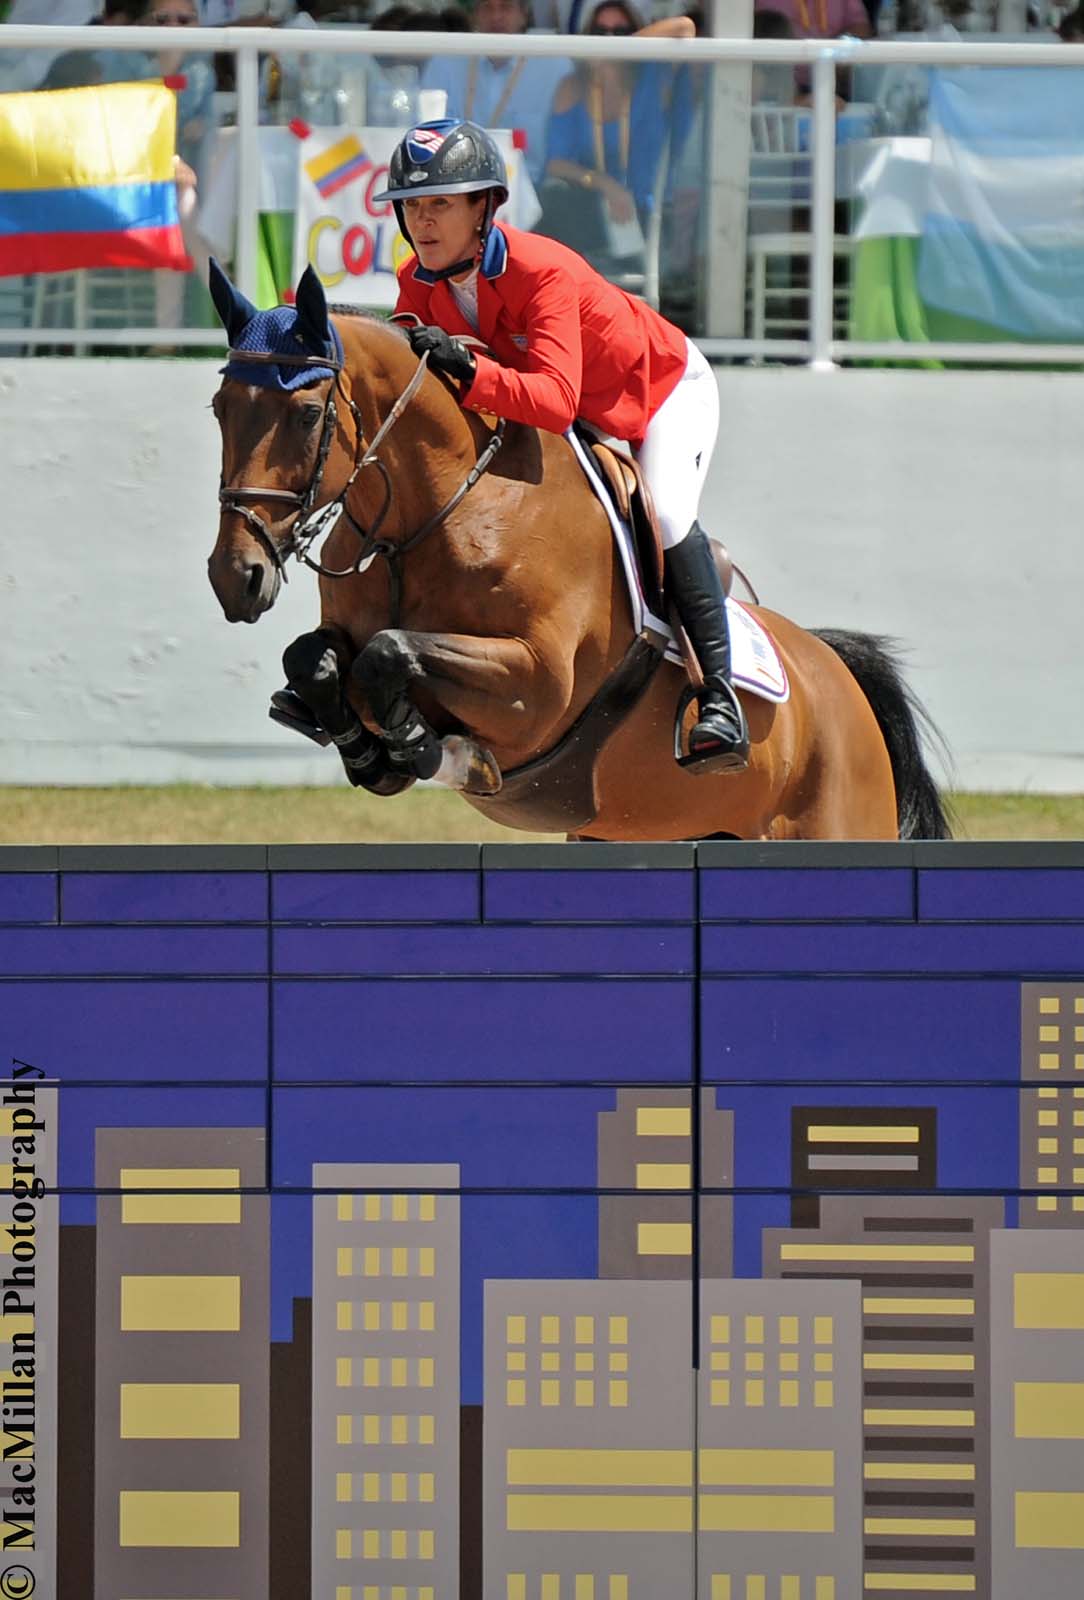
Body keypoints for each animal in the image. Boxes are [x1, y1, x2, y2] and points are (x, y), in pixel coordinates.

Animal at [206, 265, 952, 838]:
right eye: (219, 407)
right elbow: (315, 659)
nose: (234, 576)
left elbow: (389, 653)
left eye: (307, 415)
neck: (428, 518)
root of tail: (834, 670)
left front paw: (426, 748)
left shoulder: (536, 684)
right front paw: (368, 753)